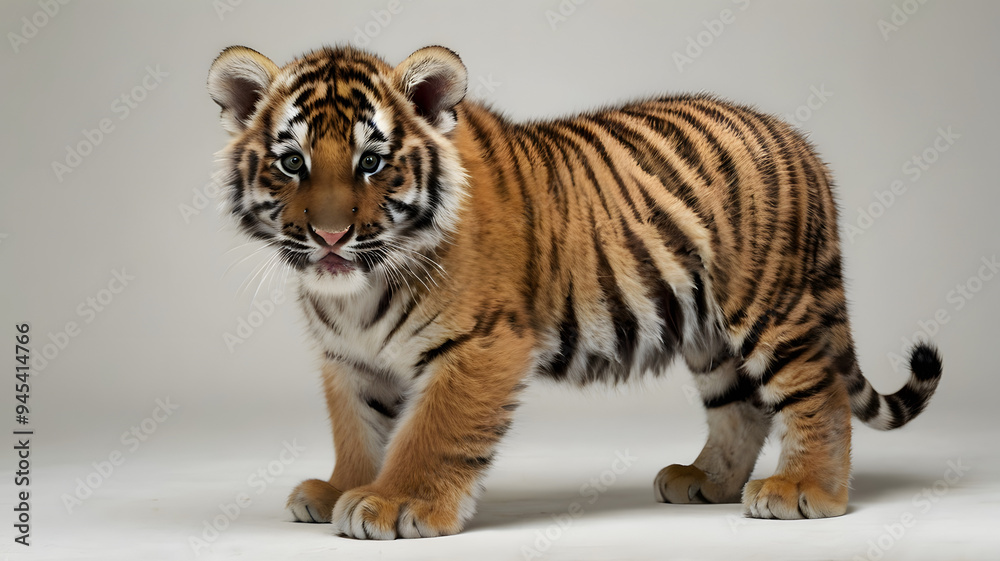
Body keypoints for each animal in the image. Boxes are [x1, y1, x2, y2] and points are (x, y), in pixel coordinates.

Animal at [206, 44, 943, 539]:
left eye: (372, 162)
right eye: (292, 161)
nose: (330, 235)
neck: (357, 292)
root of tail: (798, 140)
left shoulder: (482, 343)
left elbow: (434, 430)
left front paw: (395, 503)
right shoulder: (349, 358)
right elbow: (358, 427)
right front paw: (342, 486)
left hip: (771, 306)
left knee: (818, 392)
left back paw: (806, 491)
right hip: (708, 334)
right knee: (742, 408)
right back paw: (706, 482)